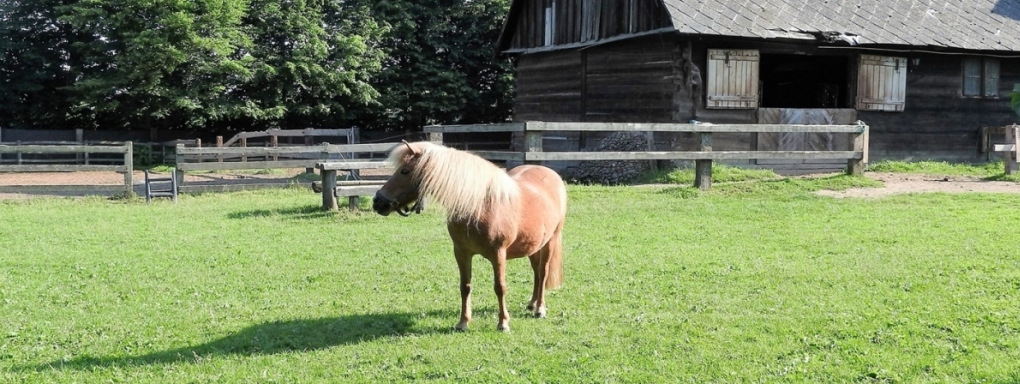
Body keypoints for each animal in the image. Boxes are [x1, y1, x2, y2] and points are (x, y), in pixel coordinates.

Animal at [373, 140, 571, 332]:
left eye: (405, 171)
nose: (378, 202)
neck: (479, 206)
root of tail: (551, 174)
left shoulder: (498, 255)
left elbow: (500, 287)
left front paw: (503, 323)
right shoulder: (461, 253)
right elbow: (465, 286)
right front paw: (463, 322)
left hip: (551, 241)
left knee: (543, 272)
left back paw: (540, 308)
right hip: (534, 245)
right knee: (536, 272)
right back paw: (532, 304)